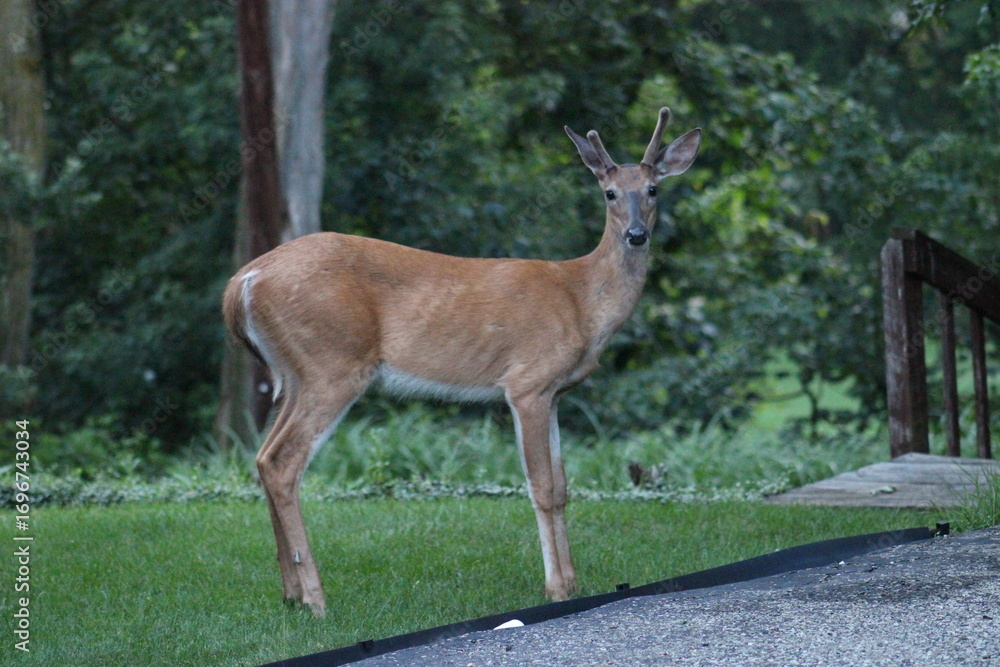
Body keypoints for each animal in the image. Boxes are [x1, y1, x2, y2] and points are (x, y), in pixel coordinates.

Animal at [222, 107, 701, 617]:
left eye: (653, 189)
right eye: (609, 193)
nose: (636, 235)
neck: (582, 300)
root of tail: (241, 283)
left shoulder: (554, 393)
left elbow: (562, 486)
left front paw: (574, 583)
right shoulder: (527, 382)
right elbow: (541, 487)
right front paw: (555, 588)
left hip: (295, 375)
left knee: (262, 456)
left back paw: (291, 594)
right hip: (332, 364)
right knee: (282, 462)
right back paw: (316, 600)